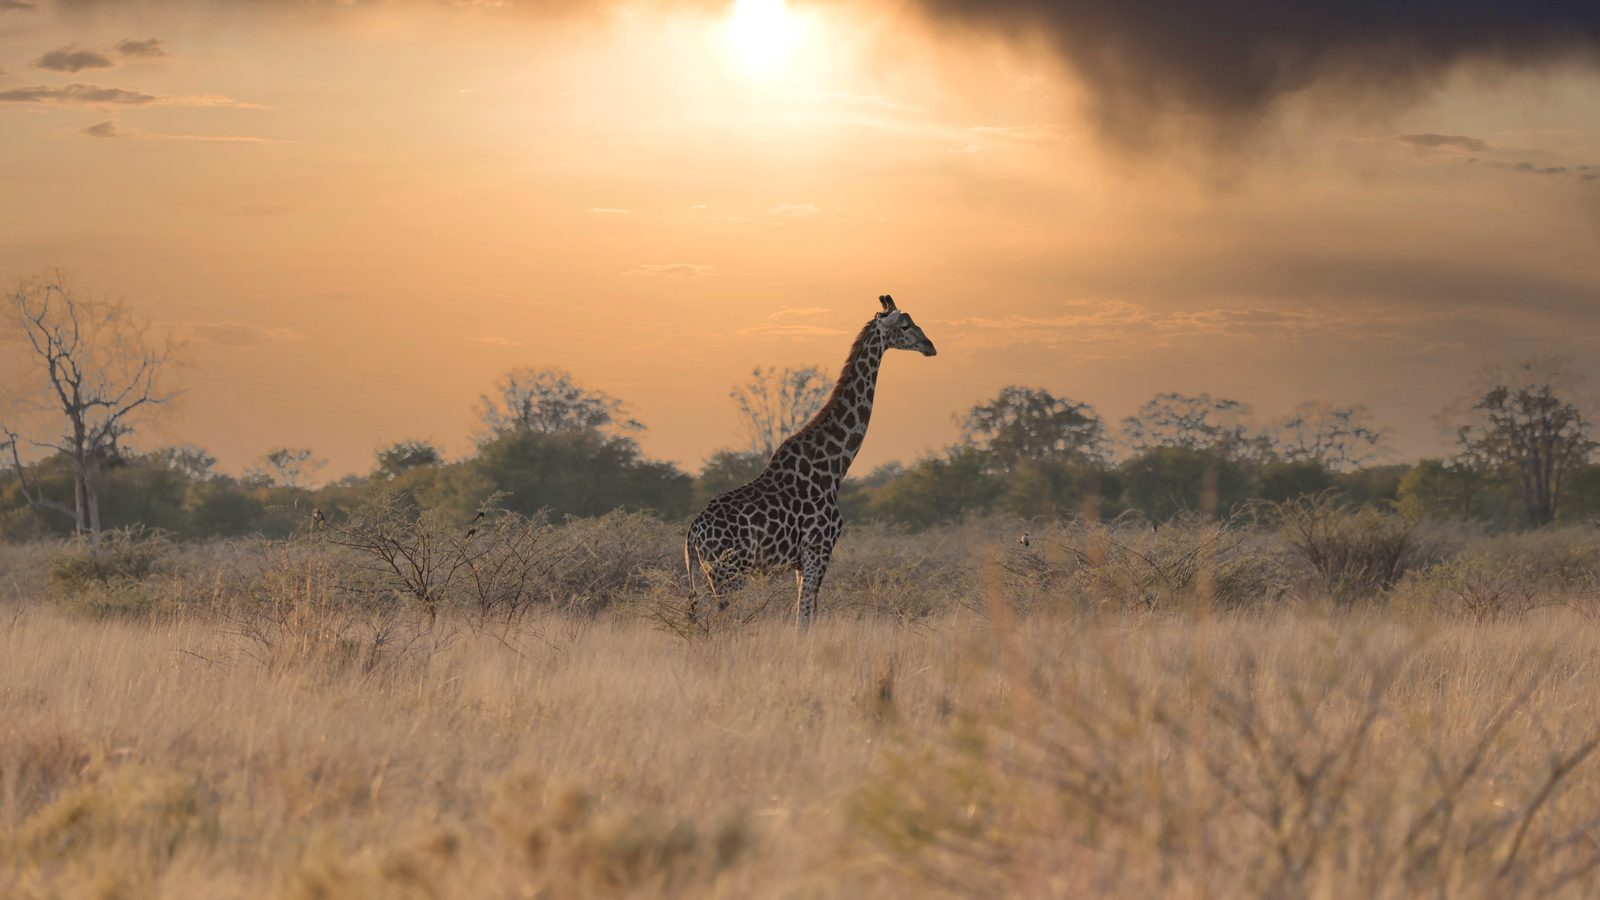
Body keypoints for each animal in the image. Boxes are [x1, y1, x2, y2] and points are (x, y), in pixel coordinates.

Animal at [686, 294, 937, 628]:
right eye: (906, 325)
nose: (929, 345)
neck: (834, 468)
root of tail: (692, 534)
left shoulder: (801, 561)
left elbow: (808, 616)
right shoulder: (818, 551)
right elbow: (803, 620)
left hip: (707, 575)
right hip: (729, 573)